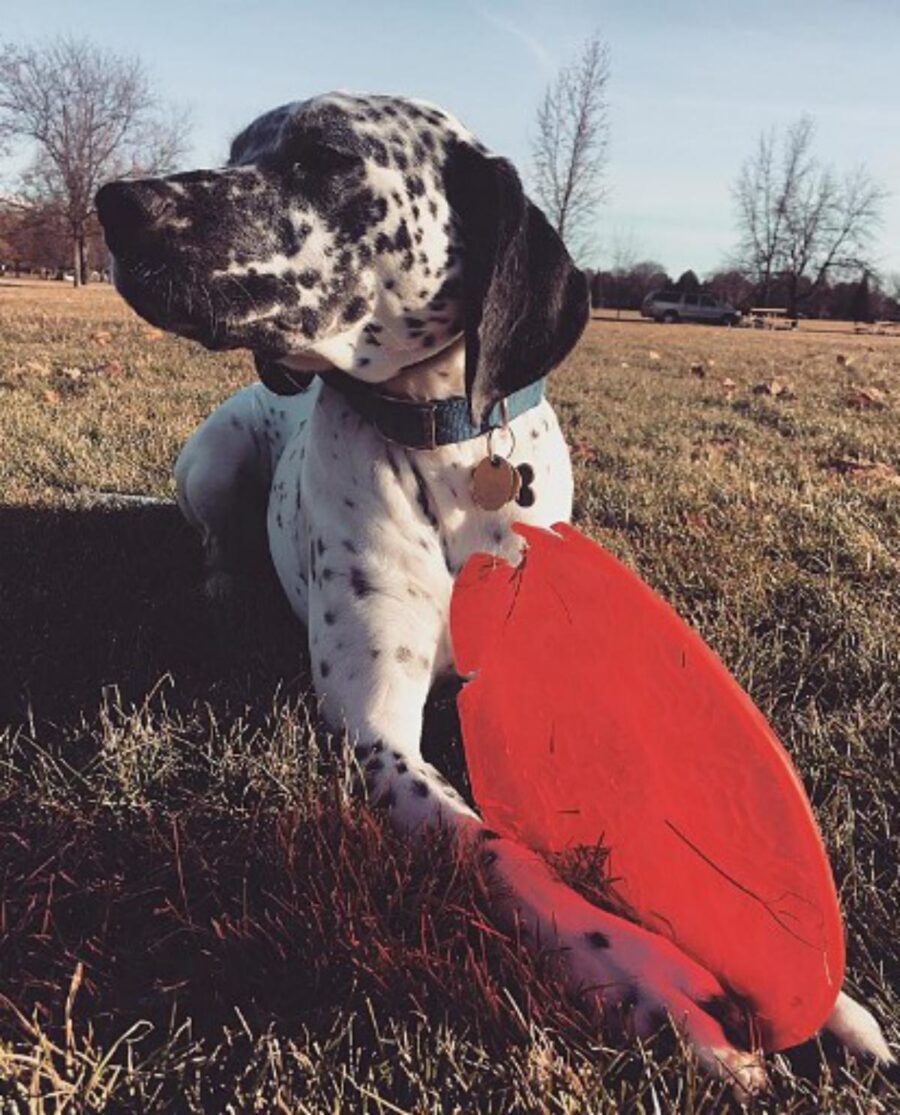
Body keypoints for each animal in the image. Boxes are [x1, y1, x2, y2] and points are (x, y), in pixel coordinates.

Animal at [93, 93, 892, 1088]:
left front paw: (839, 1003)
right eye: (241, 150)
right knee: (214, 545)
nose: (116, 203)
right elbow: (505, 854)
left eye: (326, 157)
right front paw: (657, 985)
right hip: (218, 455)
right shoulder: (378, 732)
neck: (449, 446)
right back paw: (229, 593)